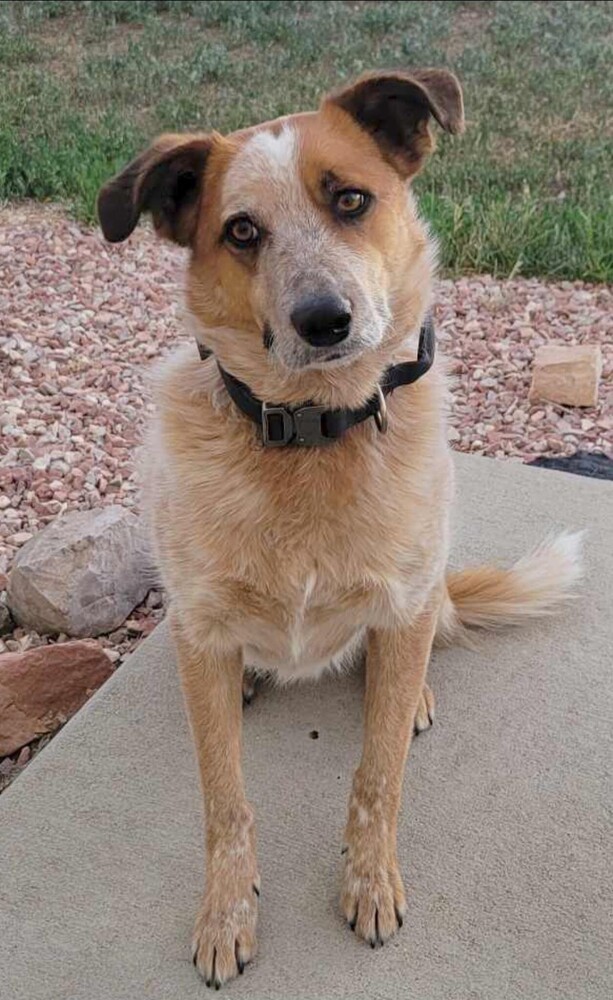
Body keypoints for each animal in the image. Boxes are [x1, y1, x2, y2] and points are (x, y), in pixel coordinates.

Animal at [98, 72, 580, 992]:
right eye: (241, 231)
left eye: (351, 199)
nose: (322, 319)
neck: (312, 434)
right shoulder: (201, 628)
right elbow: (224, 802)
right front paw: (226, 915)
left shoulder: (399, 604)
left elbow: (377, 774)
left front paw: (370, 881)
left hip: (421, 596)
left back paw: (412, 688)